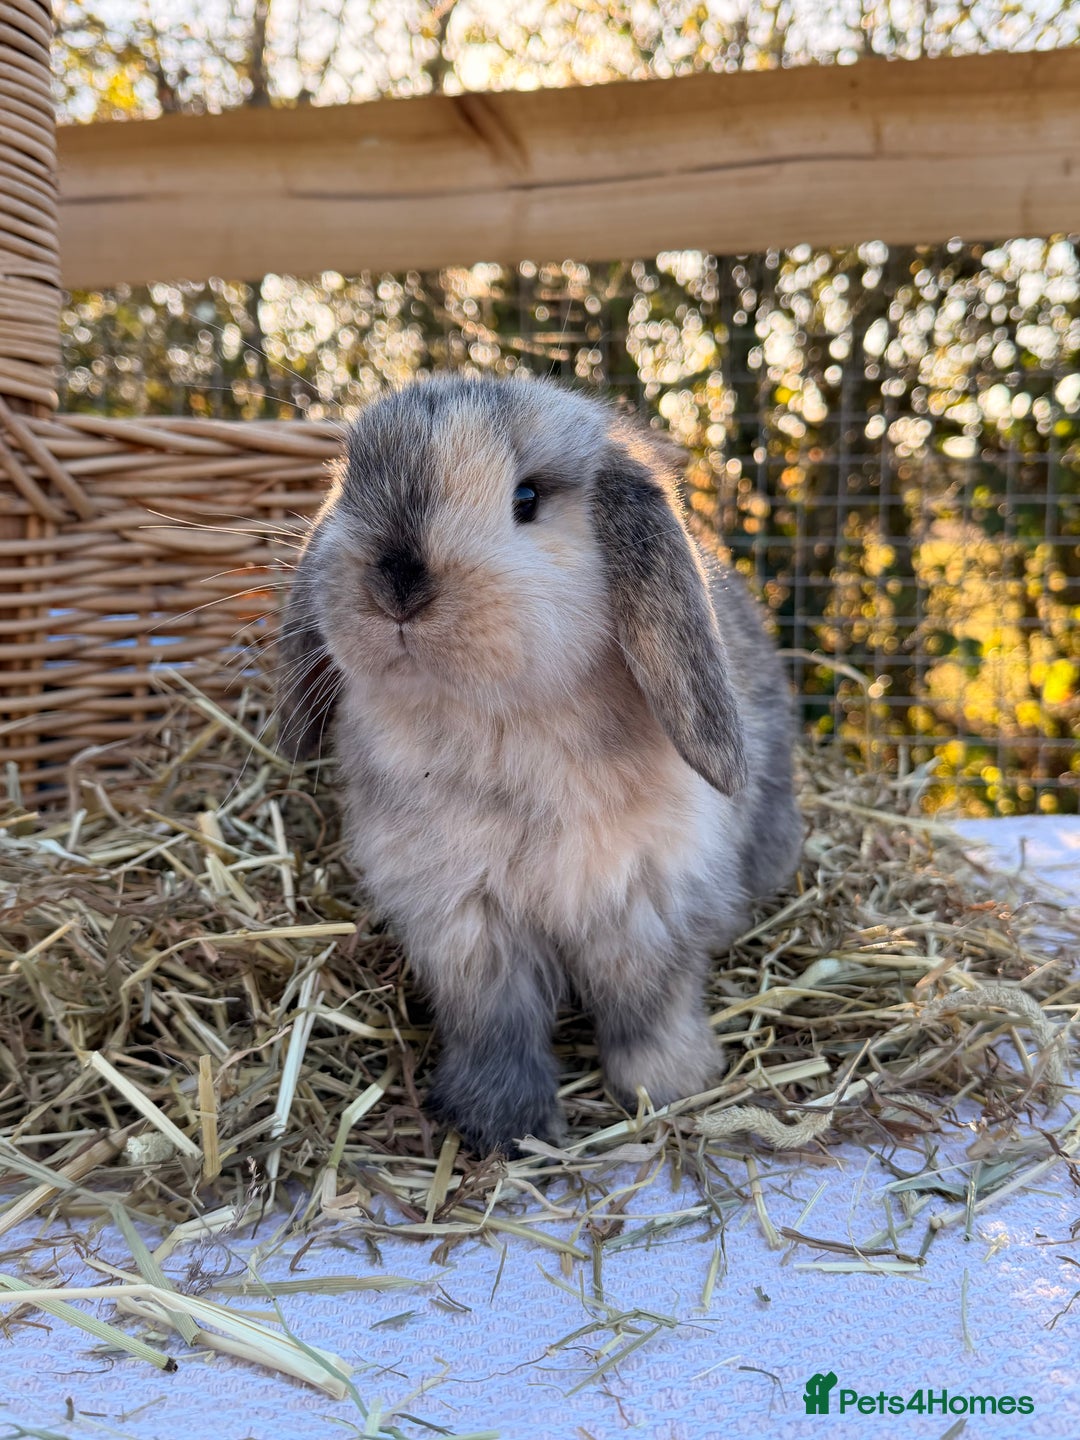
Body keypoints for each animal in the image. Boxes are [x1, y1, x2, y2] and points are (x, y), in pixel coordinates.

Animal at [276, 374, 802, 1156]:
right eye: (349, 486)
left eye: (527, 498)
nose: (397, 580)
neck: (496, 727)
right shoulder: (465, 920)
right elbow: (495, 1028)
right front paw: (499, 1128)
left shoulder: (644, 903)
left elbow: (649, 1004)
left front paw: (671, 1088)